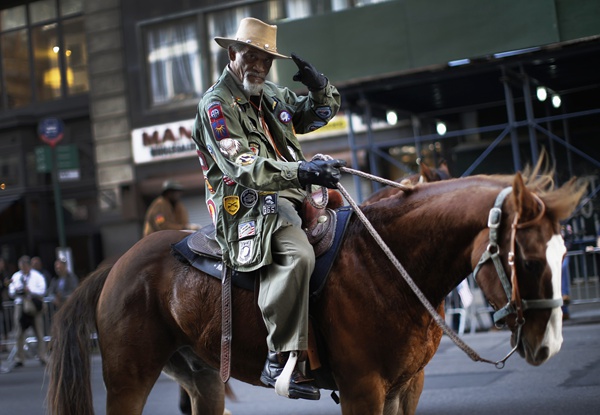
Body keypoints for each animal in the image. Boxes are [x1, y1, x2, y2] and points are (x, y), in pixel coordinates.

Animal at [47, 170, 584, 415]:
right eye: (528, 260)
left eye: (563, 255)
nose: (549, 344)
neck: (389, 263)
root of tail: (116, 264)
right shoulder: (363, 390)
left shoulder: (407, 387)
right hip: (127, 379)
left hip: (201, 377)